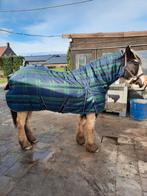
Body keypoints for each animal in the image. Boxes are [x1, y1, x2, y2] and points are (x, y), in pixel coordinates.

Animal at [4, 46, 145, 153]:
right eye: (135, 63)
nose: (143, 83)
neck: (94, 80)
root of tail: (12, 76)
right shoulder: (91, 110)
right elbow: (90, 127)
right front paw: (92, 147)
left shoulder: (86, 107)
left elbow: (82, 123)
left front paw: (81, 140)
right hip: (22, 106)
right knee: (20, 124)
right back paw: (25, 144)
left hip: (28, 105)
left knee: (26, 123)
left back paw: (32, 140)